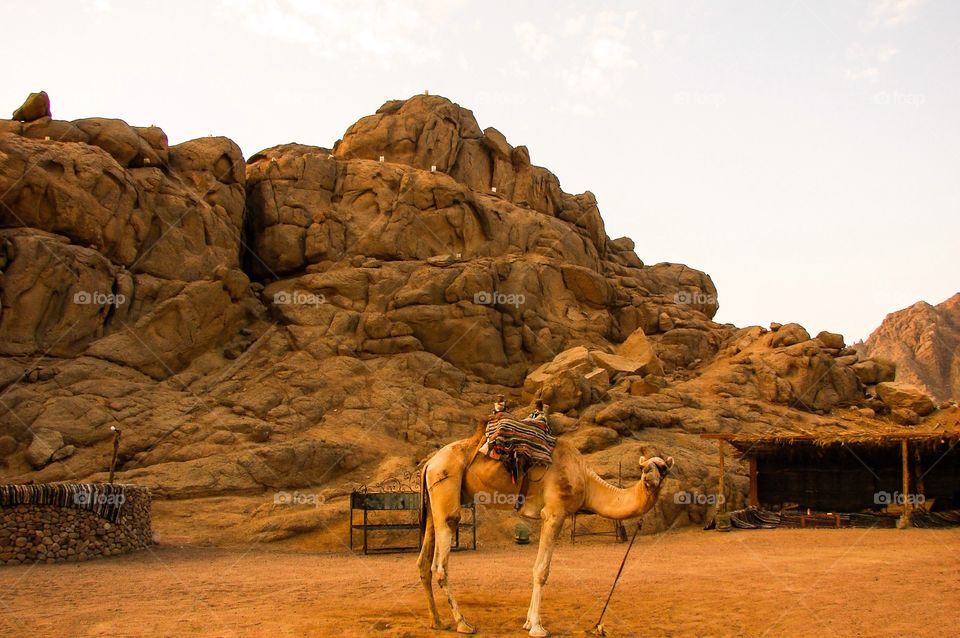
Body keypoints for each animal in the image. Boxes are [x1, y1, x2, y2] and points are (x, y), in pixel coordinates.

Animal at [417, 420, 674, 636]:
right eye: (644, 468)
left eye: (663, 469)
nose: (649, 478)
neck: (586, 479)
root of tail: (429, 463)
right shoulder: (555, 512)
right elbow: (542, 571)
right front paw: (538, 627)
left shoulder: (546, 515)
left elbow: (535, 568)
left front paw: (528, 622)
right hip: (447, 492)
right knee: (440, 565)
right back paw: (463, 623)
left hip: (433, 503)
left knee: (423, 563)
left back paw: (437, 621)